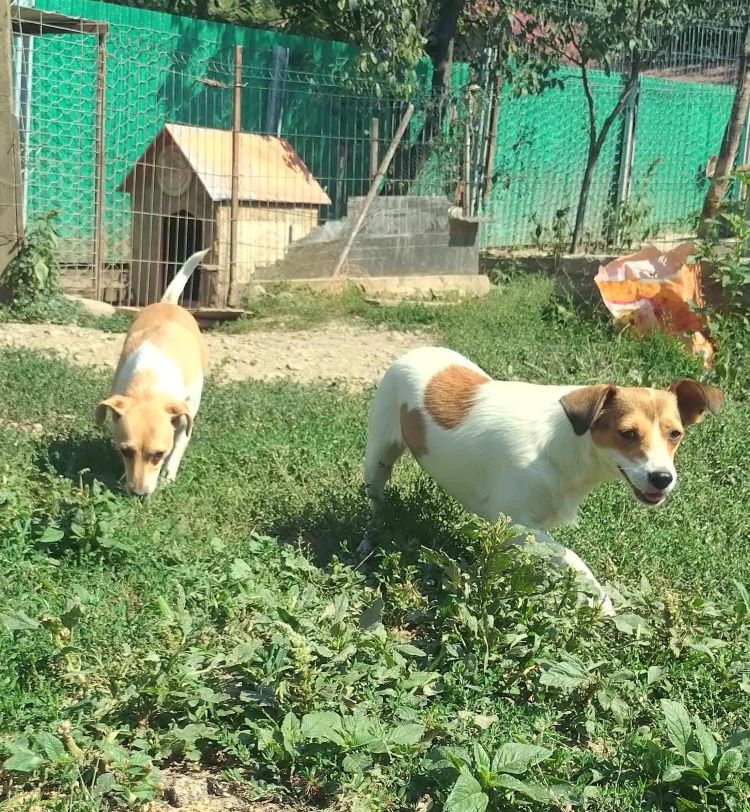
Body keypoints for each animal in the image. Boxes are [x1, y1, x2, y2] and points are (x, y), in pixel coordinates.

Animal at [96, 249, 212, 494]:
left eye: (158, 455)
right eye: (126, 451)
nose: (138, 493)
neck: (149, 384)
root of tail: (168, 302)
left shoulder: (186, 413)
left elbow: (179, 445)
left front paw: (168, 476)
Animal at [362, 344, 724, 616]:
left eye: (675, 434)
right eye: (627, 434)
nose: (662, 478)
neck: (567, 445)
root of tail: (416, 350)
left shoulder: (527, 530)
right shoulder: (514, 524)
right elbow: (570, 557)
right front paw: (601, 601)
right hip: (378, 456)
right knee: (374, 497)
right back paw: (370, 536)